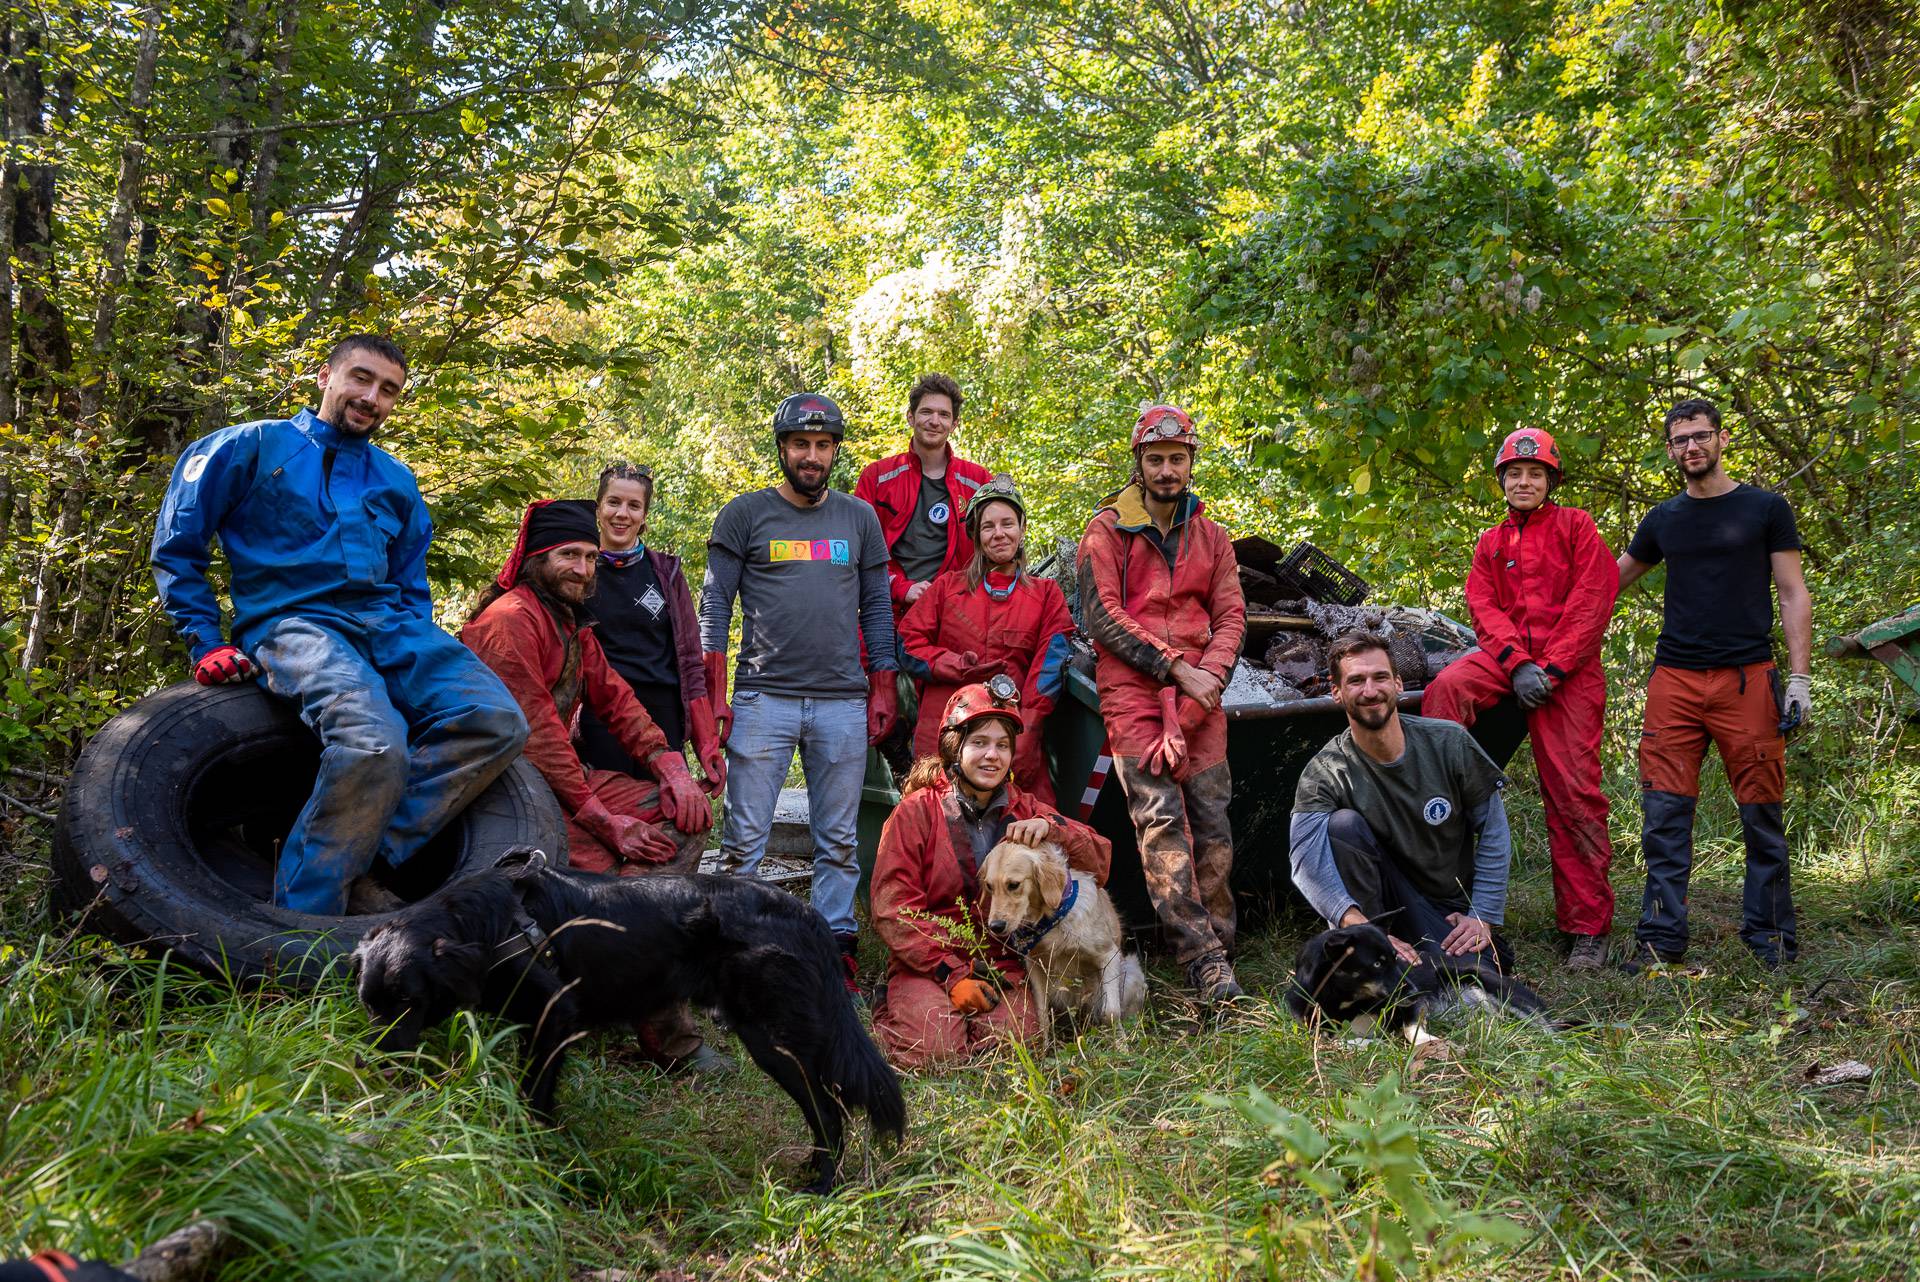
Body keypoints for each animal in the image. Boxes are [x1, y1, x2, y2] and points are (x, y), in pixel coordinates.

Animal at [359, 844, 906, 1197]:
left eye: (409, 1000)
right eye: (369, 1005)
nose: (376, 1063)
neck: (485, 924)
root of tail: (804, 912)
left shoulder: (555, 1019)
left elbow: (533, 1097)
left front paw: (533, 1155)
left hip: (772, 1039)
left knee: (829, 1111)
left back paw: (822, 1186)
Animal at [990, 840, 1136, 1044]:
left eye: (1013, 885)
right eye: (989, 886)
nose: (995, 926)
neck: (1053, 919)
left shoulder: (1108, 956)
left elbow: (1111, 1013)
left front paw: (1121, 1046)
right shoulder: (1035, 965)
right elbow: (1042, 1015)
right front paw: (1045, 1049)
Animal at [1282, 921, 1551, 1044]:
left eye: (1395, 959)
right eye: (1377, 964)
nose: (1413, 989)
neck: (1347, 1002)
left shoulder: (1414, 1005)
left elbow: (1410, 1028)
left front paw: (1426, 1042)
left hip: (1492, 986)